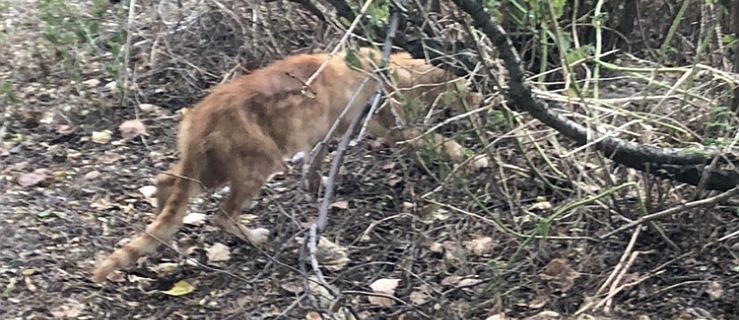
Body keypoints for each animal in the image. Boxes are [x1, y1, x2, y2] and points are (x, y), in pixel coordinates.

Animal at [91, 47, 486, 282]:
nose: (481, 103)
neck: (388, 66)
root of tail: (201, 116)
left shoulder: (323, 135)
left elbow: (315, 162)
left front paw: (313, 186)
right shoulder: (389, 126)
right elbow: (439, 141)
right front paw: (473, 158)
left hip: (209, 169)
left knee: (165, 183)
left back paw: (166, 234)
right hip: (256, 165)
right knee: (222, 214)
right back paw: (255, 239)